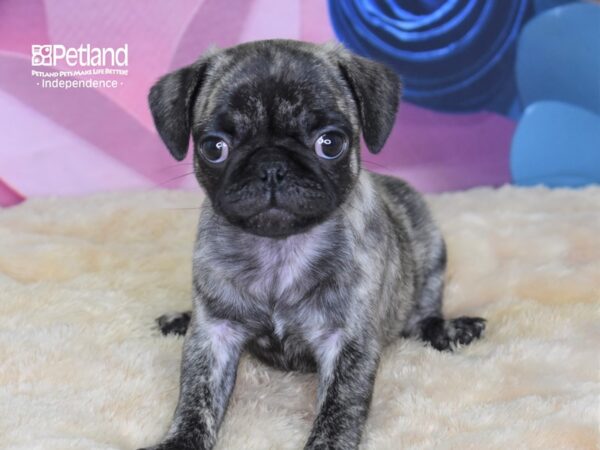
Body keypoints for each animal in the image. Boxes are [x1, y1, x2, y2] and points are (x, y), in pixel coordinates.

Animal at [141, 39, 488, 450]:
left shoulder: (347, 343)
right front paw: (180, 441)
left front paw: (326, 443)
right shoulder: (214, 336)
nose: (271, 166)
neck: (279, 250)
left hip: (430, 248)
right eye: (214, 148)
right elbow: (197, 399)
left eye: (330, 143)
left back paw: (450, 329)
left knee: (423, 316)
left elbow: (339, 408)